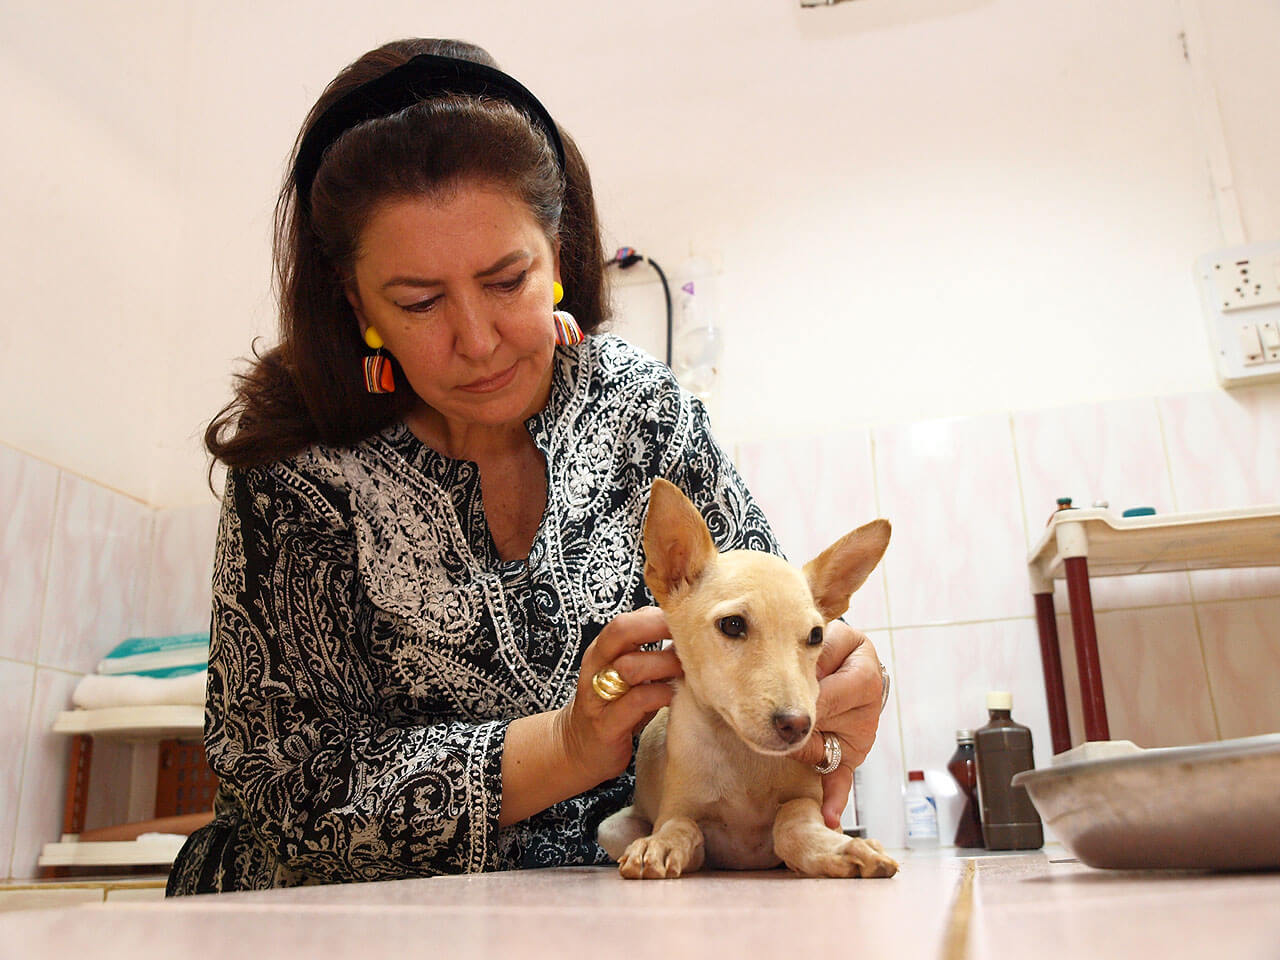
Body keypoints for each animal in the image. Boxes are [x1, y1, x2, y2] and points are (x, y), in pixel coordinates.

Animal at [597, 479, 899, 879]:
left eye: (816, 636)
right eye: (732, 624)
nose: (797, 725)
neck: (743, 757)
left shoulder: (810, 803)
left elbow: (792, 821)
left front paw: (840, 848)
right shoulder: (681, 812)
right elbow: (682, 825)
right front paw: (659, 845)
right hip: (610, 827)